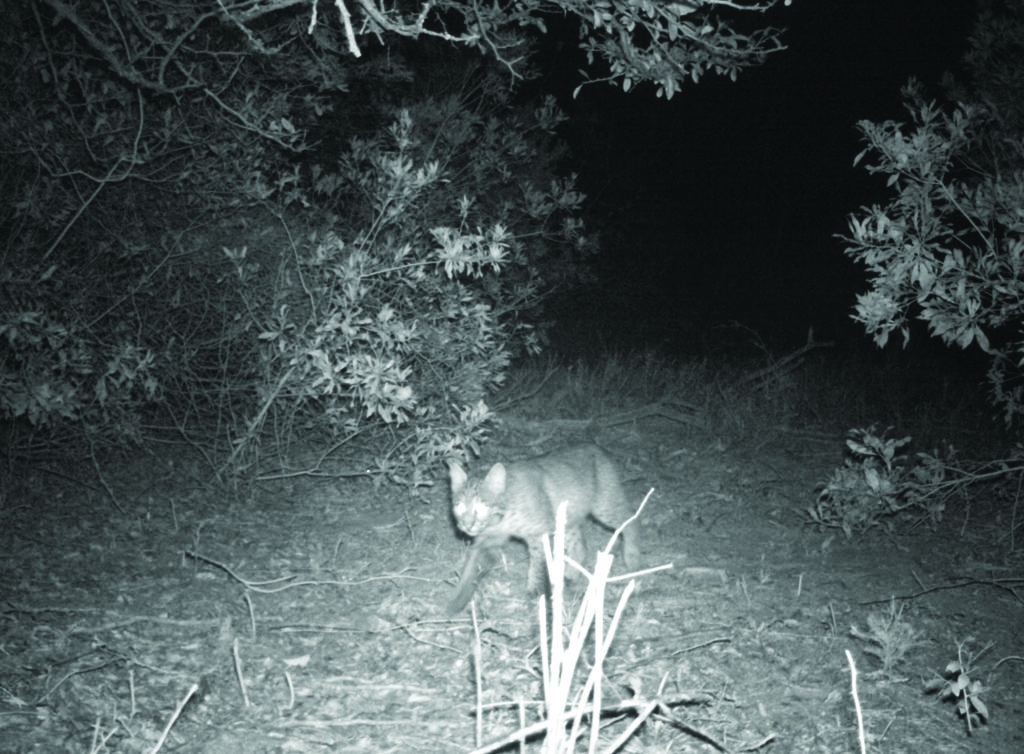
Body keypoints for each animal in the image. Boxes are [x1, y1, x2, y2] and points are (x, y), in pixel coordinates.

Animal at [444, 446, 634, 614]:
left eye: (481, 507)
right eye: (459, 506)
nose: (467, 525)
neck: (501, 518)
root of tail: (596, 446)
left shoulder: (538, 533)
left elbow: (537, 565)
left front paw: (534, 592)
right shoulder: (487, 541)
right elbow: (470, 569)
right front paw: (454, 602)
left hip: (604, 506)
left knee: (631, 519)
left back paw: (634, 559)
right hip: (565, 517)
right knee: (580, 545)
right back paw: (570, 576)